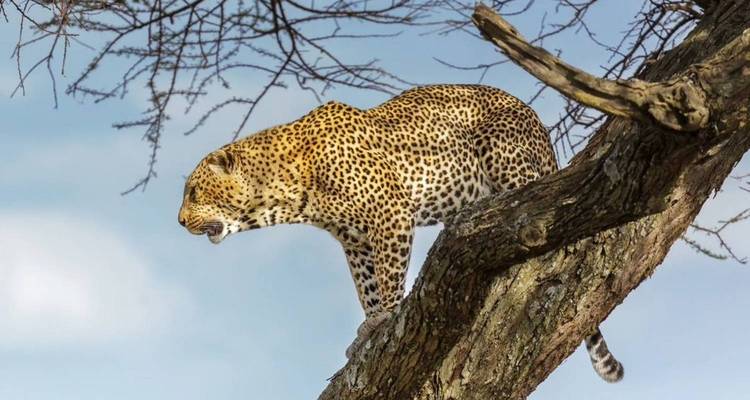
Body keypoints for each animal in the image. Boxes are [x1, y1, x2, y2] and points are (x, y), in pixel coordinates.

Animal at [177, 84, 624, 383]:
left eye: (194, 191)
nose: (179, 221)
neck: (286, 190)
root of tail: (541, 129)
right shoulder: (354, 240)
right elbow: (366, 285)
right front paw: (369, 326)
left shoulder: (389, 215)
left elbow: (389, 277)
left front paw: (387, 318)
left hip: (505, 153)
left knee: (537, 202)